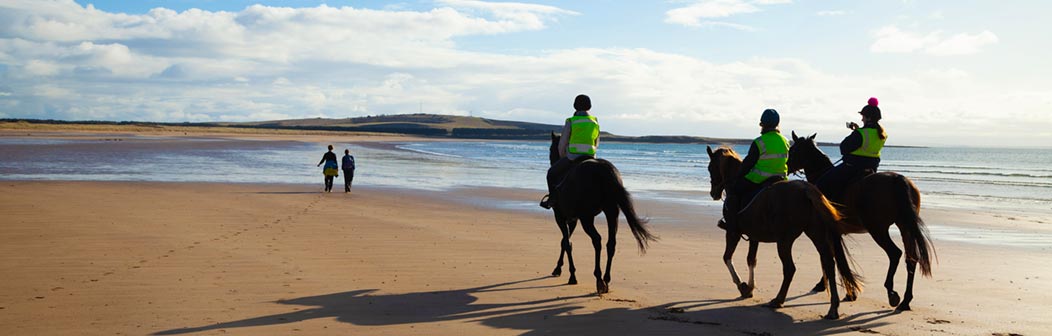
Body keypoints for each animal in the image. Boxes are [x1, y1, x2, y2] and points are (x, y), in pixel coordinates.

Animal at [547, 133, 652, 294]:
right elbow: (565, 242)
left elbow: (566, 242)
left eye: (550, 149)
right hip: (611, 213)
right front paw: (559, 268)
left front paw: (571, 275)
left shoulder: (560, 216)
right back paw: (606, 279)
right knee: (611, 243)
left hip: (587, 218)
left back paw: (598, 279)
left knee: (597, 240)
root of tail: (603, 170)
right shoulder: (572, 220)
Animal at [706, 146, 862, 320]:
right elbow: (751, 260)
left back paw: (778, 300)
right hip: (817, 235)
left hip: (784, 241)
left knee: (790, 269)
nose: (713, 193)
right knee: (829, 264)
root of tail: (806, 189)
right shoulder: (754, 237)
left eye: (710, 168)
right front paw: (750, 288)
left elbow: (727, 257)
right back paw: (833, 308)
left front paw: (742, 286)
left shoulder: (733, 233)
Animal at [786, 132, 934, 311]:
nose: (786, 167)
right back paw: (905, 301)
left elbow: (830, 258)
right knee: (910, 259)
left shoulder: (829, 232)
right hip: (905, 227)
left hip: (878, 229)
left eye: (792, 150)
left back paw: (891, 292)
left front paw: (827, 285)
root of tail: (897, 179)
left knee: (895, 254)